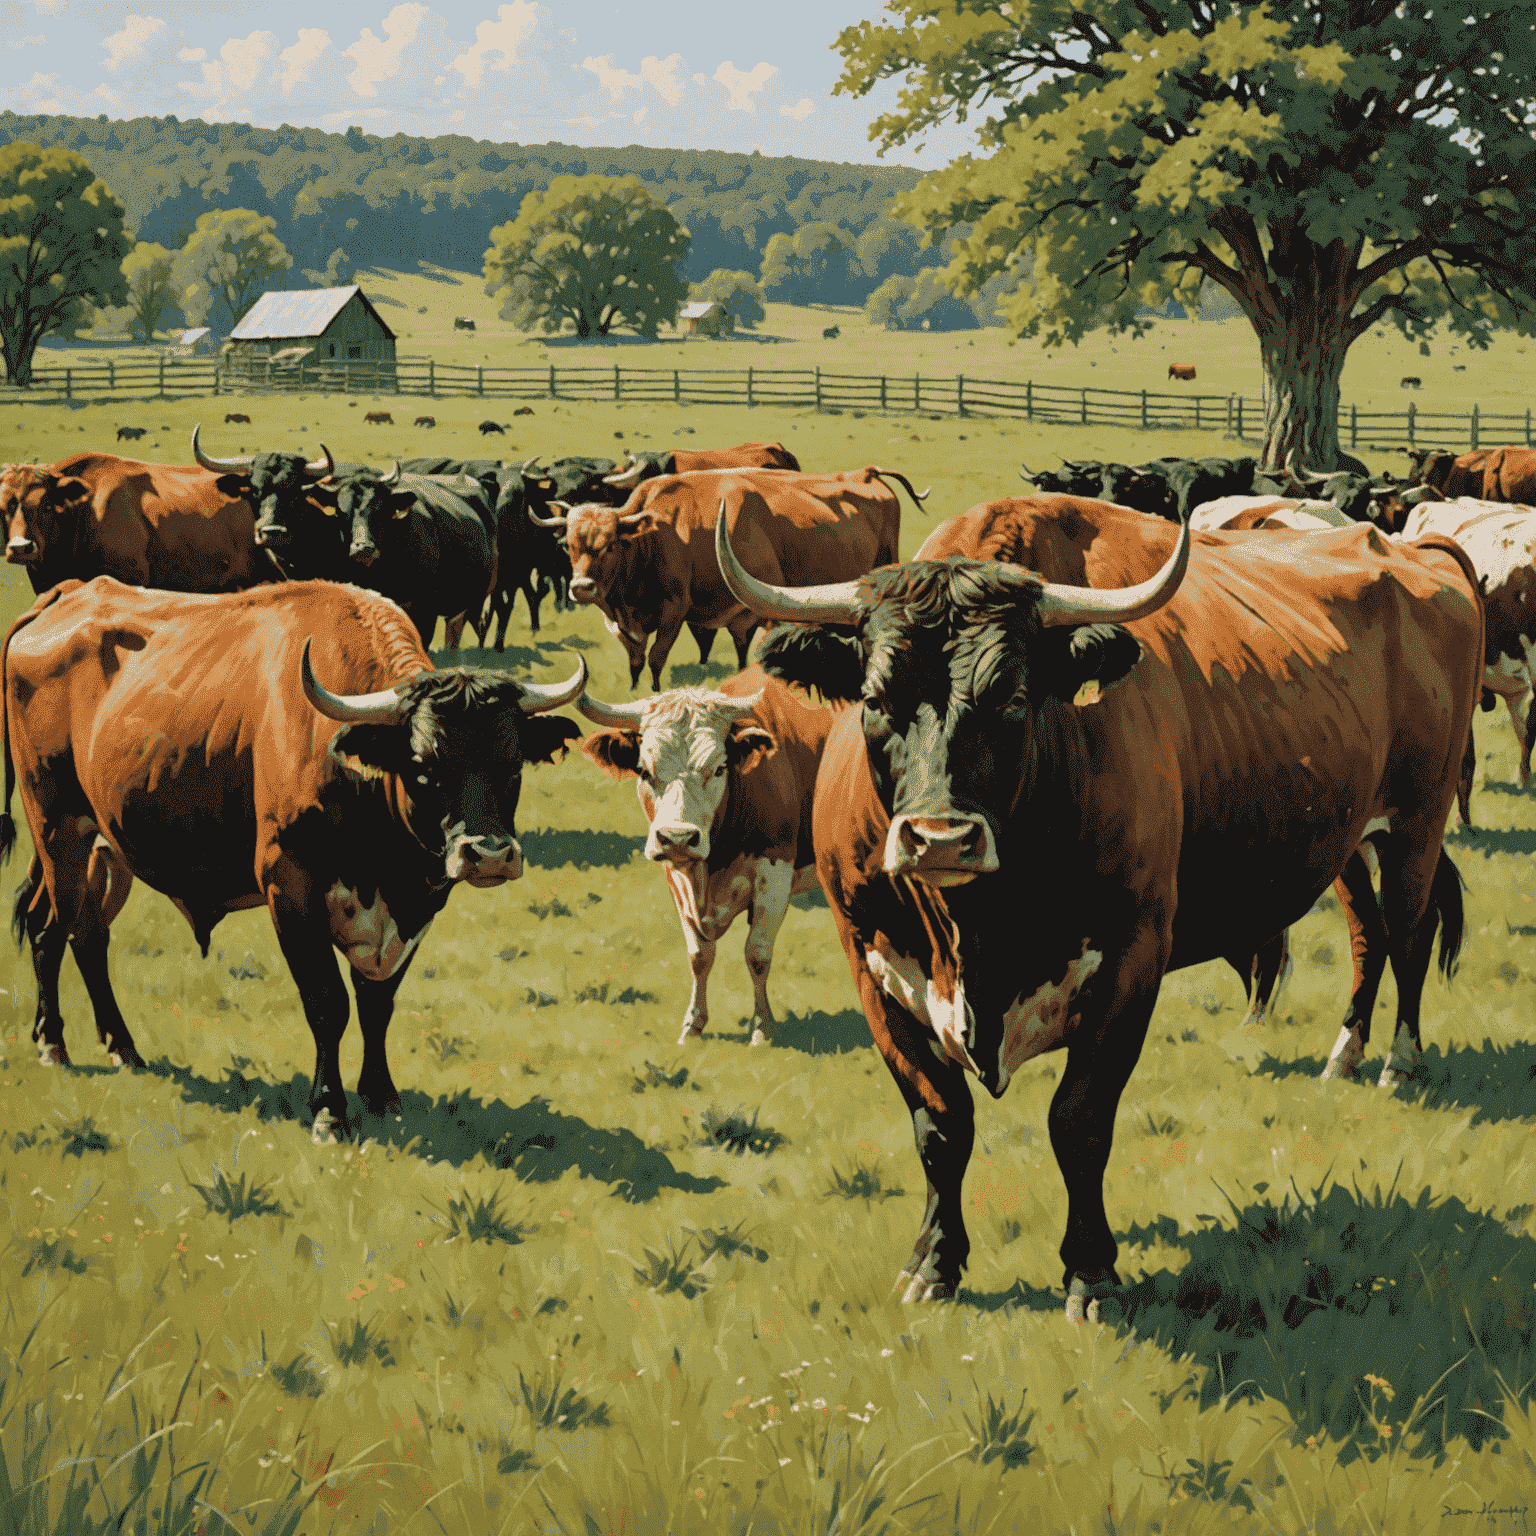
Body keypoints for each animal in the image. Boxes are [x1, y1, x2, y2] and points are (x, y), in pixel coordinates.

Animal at [0, 577, 586, 1142]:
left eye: (514, 765)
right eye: (423, 767)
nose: (488, 854)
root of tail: (69, 592)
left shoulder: (418, 902)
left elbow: (378, 1002)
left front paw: (381, 1095)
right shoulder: (290, 884)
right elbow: (328, 1003)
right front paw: (330, 1110)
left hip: (104, 844)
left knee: (61, 927)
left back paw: (84, 1040)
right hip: (56, 828)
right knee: (72, 931)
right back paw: (82, 1044)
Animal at [534, 460, 915, 691]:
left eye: (610, 544)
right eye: (568, 545)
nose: (582, 588)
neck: (666, 533)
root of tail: (868, 475)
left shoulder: (679, 610)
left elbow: (657, 656)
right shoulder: (626, 620)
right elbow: (636, 658)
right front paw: (632, 689)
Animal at [724, 500, 1480, 1308]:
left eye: (1014, 700)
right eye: (873, 699)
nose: (940, 839)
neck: (978, 936)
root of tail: (1408, 548)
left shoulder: (1131, 957)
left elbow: (1079, 1121)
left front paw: (1090, 1271)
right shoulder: (870, 961)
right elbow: (940, 1123)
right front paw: (934, 1263)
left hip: (1415, 824)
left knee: (1409, 934)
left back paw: (1398, 1061)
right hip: (1349, 845)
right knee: (1369, 938)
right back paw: (1344, 1055)